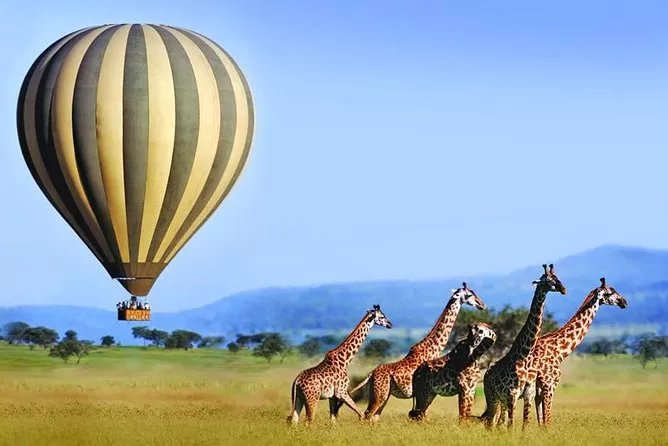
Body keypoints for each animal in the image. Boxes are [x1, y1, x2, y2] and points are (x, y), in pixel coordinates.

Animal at [348, 282, 487, 422]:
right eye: (469, 295)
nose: (482, 304)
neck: (433, 348)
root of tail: (371, 375)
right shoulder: (425, 391)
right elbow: (424, 416)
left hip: (384, 395)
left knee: (374, 418)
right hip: (379, 395)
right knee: (366, 416)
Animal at [478, 263, 567, 429]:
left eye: (558, 277)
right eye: (548, 280)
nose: (564, 289)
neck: (523, 356)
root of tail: (486, 375)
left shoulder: (528, 394)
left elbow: (524, 426)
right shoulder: (512, 394)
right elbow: (511, 426)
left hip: (502, 401)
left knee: (497, 423)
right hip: (493, 398)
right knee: (490, 423)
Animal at [521, 277, 628, 427]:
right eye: (610, 292)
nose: (624, 302)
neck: (559, 350)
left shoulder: (539, 389)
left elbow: (541, 421)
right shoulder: (549, 385)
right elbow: (547, 421)